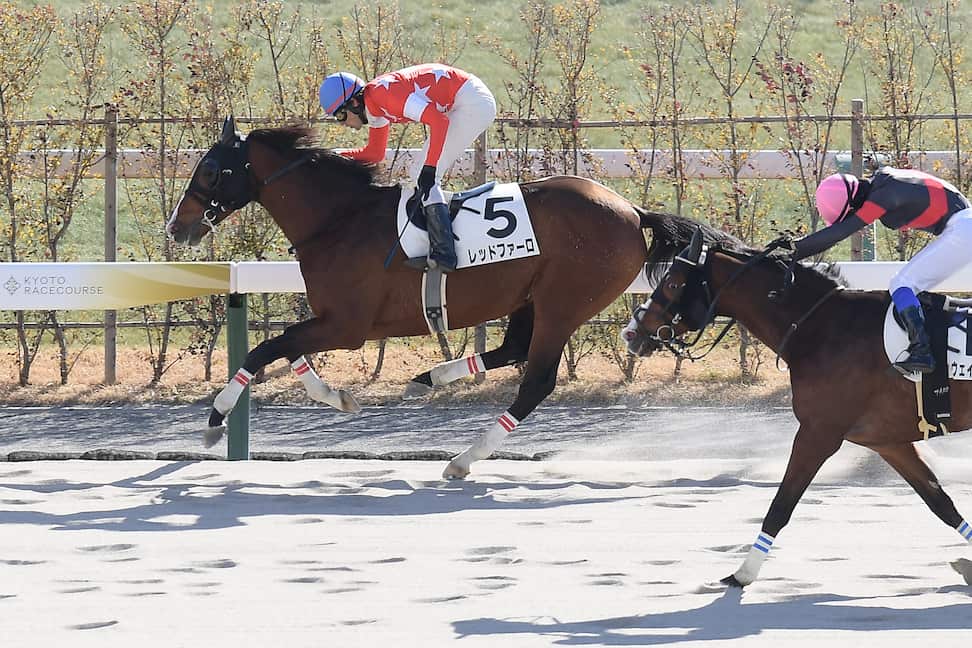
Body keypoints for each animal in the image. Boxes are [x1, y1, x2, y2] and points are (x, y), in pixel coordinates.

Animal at [166, 116, 730, 479]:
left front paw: (215, 420)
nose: (177, 227)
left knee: (536, 381)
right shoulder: (330, 320)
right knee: (513, 350)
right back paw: (429, 379)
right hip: (531, 299)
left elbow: (265, 349)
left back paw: (463, 458)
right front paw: (338, 396)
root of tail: (634, 212)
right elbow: (285, 349)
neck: (340, 219)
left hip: (563, 303)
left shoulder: (347, 325)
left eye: (210, 170)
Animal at [621, 217, 972, 587]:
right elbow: (940, 501)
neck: (819, 327)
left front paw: (742, 574)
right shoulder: (887, 442)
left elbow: (781, 506)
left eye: (672, 283)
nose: (631, 332)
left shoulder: (817, 433)